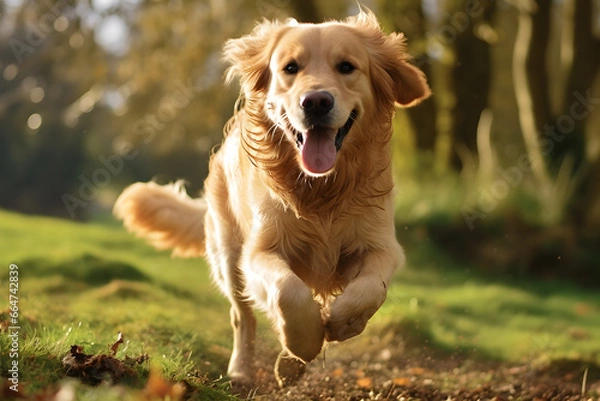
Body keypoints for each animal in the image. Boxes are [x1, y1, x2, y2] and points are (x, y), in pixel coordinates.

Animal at [113, 10, 432, 388]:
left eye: (347, 66)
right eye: (290, 67)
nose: (316, 102)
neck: (320, 188)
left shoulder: (381, 245)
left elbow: (370, 288)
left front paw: (341, 321)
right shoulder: (259, 250)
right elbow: (287, 291)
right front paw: (305, 341)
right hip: (228, 258)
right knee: (242, 316)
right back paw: (245, 368)